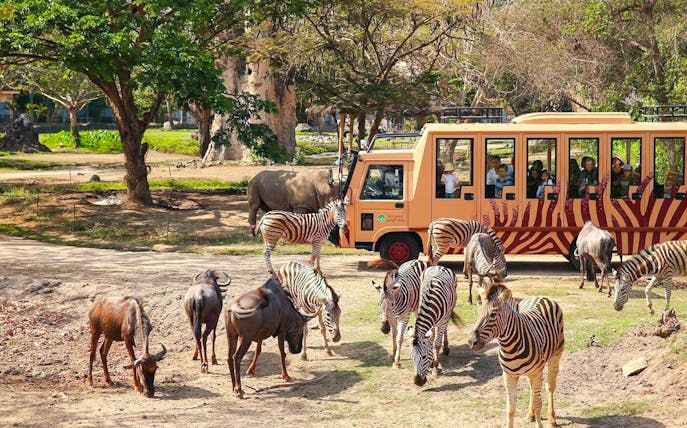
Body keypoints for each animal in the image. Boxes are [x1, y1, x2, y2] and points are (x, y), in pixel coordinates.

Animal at [468, 283, 565, 428]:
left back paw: (552, 418)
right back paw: (530, 414)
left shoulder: (536, 372)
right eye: (478, 313)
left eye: (493, 314)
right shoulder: (508, 375)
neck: (510, 347)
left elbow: (538, 404)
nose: (471, 342)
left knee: (549, 386)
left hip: (555, 355)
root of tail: (541, 296)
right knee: (532, 389)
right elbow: (510, 408)